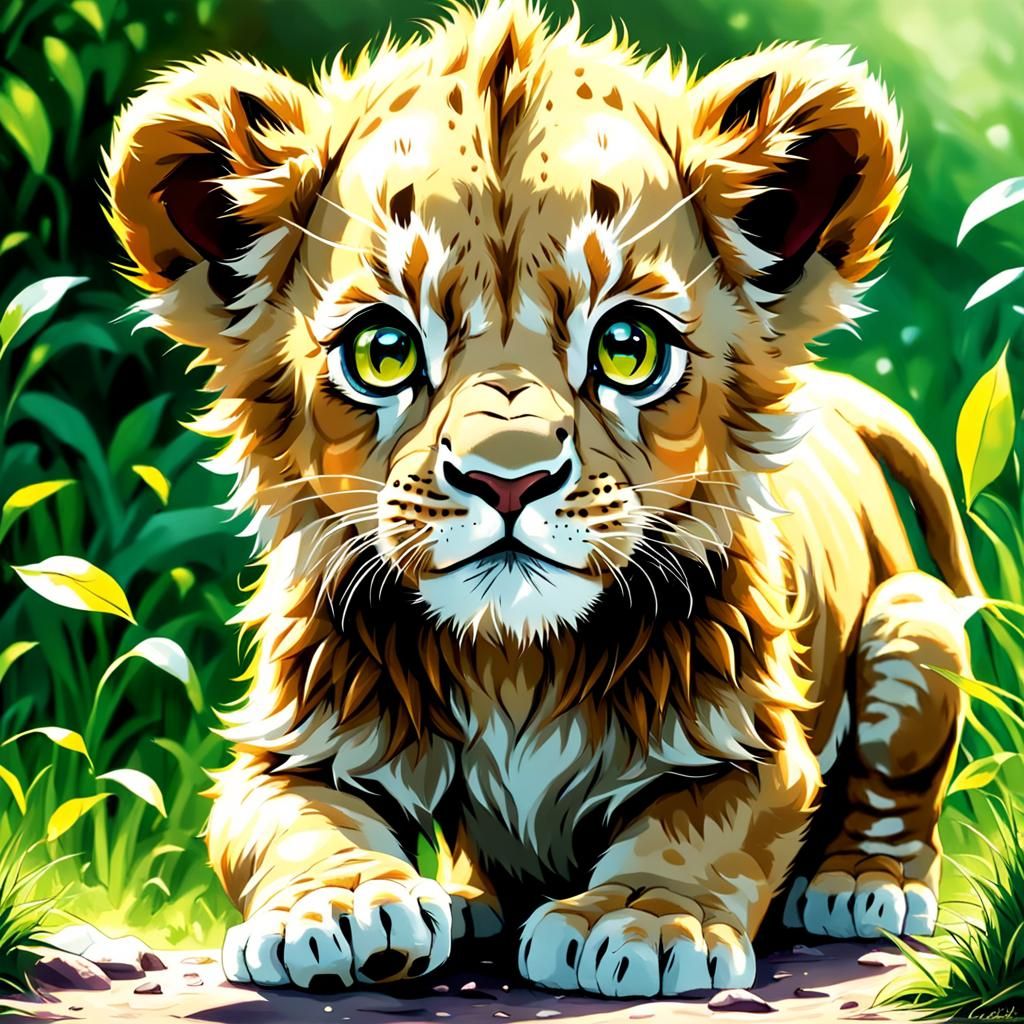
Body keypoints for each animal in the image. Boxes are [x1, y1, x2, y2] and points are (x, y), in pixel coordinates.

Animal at [104, 0, 978, 997]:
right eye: (383, 351)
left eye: (630, 346)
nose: (508, 477)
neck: (515, 659)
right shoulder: (292, 741)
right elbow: (289, 821)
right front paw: (340, 908)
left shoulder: (752, 743)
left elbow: (696, 832)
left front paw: (640, 922)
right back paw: (469, 903)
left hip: (914, 624)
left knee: (894, 789)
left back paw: (861, 885)